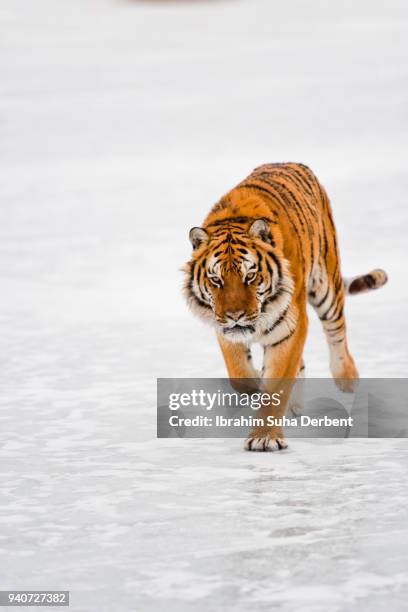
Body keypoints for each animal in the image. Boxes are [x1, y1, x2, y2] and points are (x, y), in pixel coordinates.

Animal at [183, 163, 388, 450]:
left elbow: (276, 385)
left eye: (250, 276)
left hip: (326, 285)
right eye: (216, 279)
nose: (235, 315)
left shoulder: (290, 326)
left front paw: (264, 438)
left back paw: (346, 378)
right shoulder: (224, 328)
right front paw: (256, 386)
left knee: (336, 330)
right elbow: (240, 375)